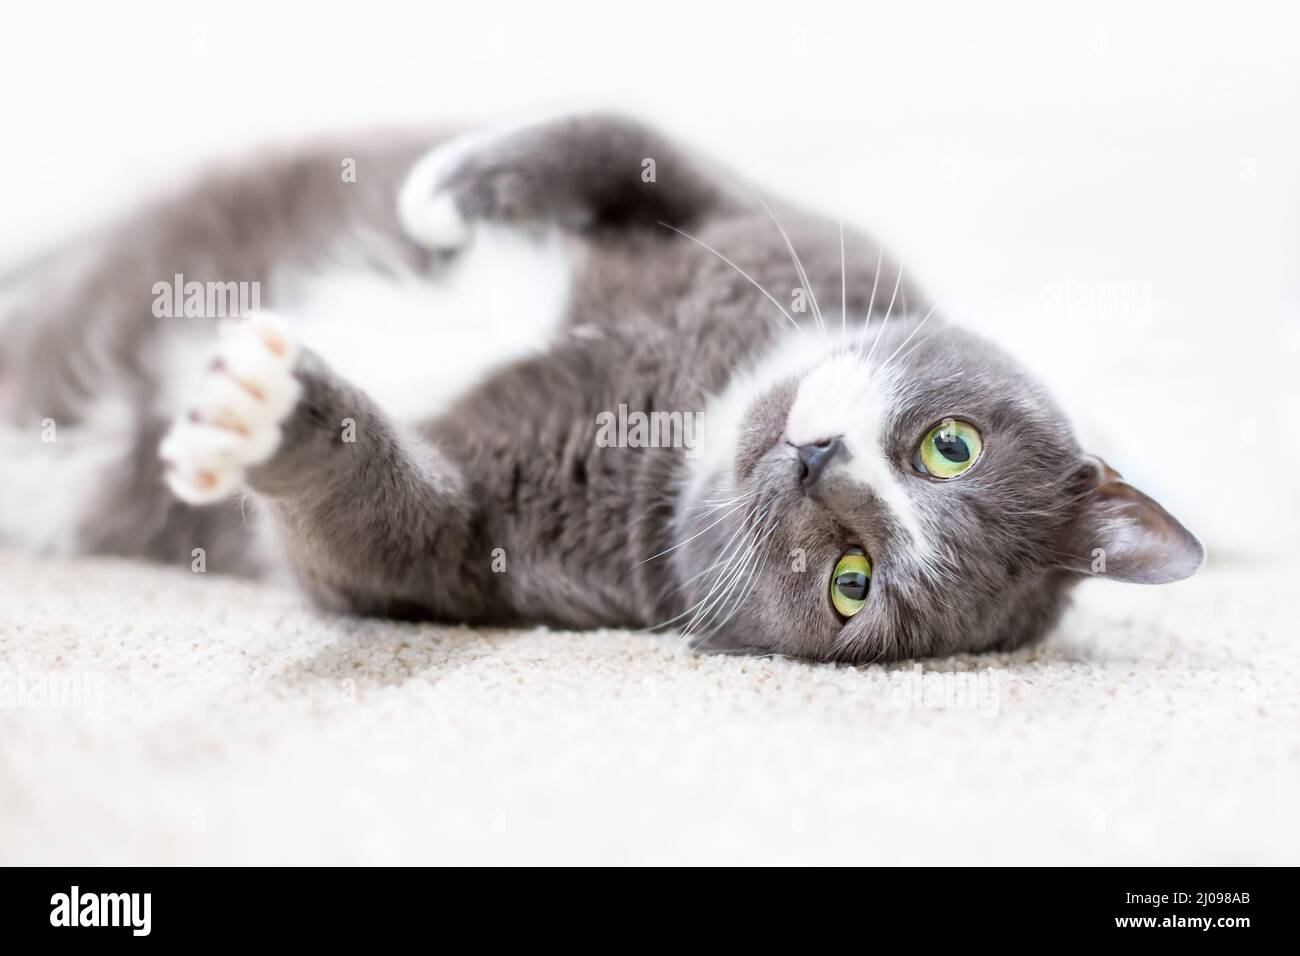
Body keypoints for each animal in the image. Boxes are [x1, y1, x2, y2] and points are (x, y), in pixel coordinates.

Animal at [0, 113, 1196, 665]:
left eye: (853, 582)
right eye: (952, 444)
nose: (817, 462)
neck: (695, 394)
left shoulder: (483, 554)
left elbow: (373, 531)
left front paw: (269, 414)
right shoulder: (765, 219)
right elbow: (624, 142)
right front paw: (450, 192)